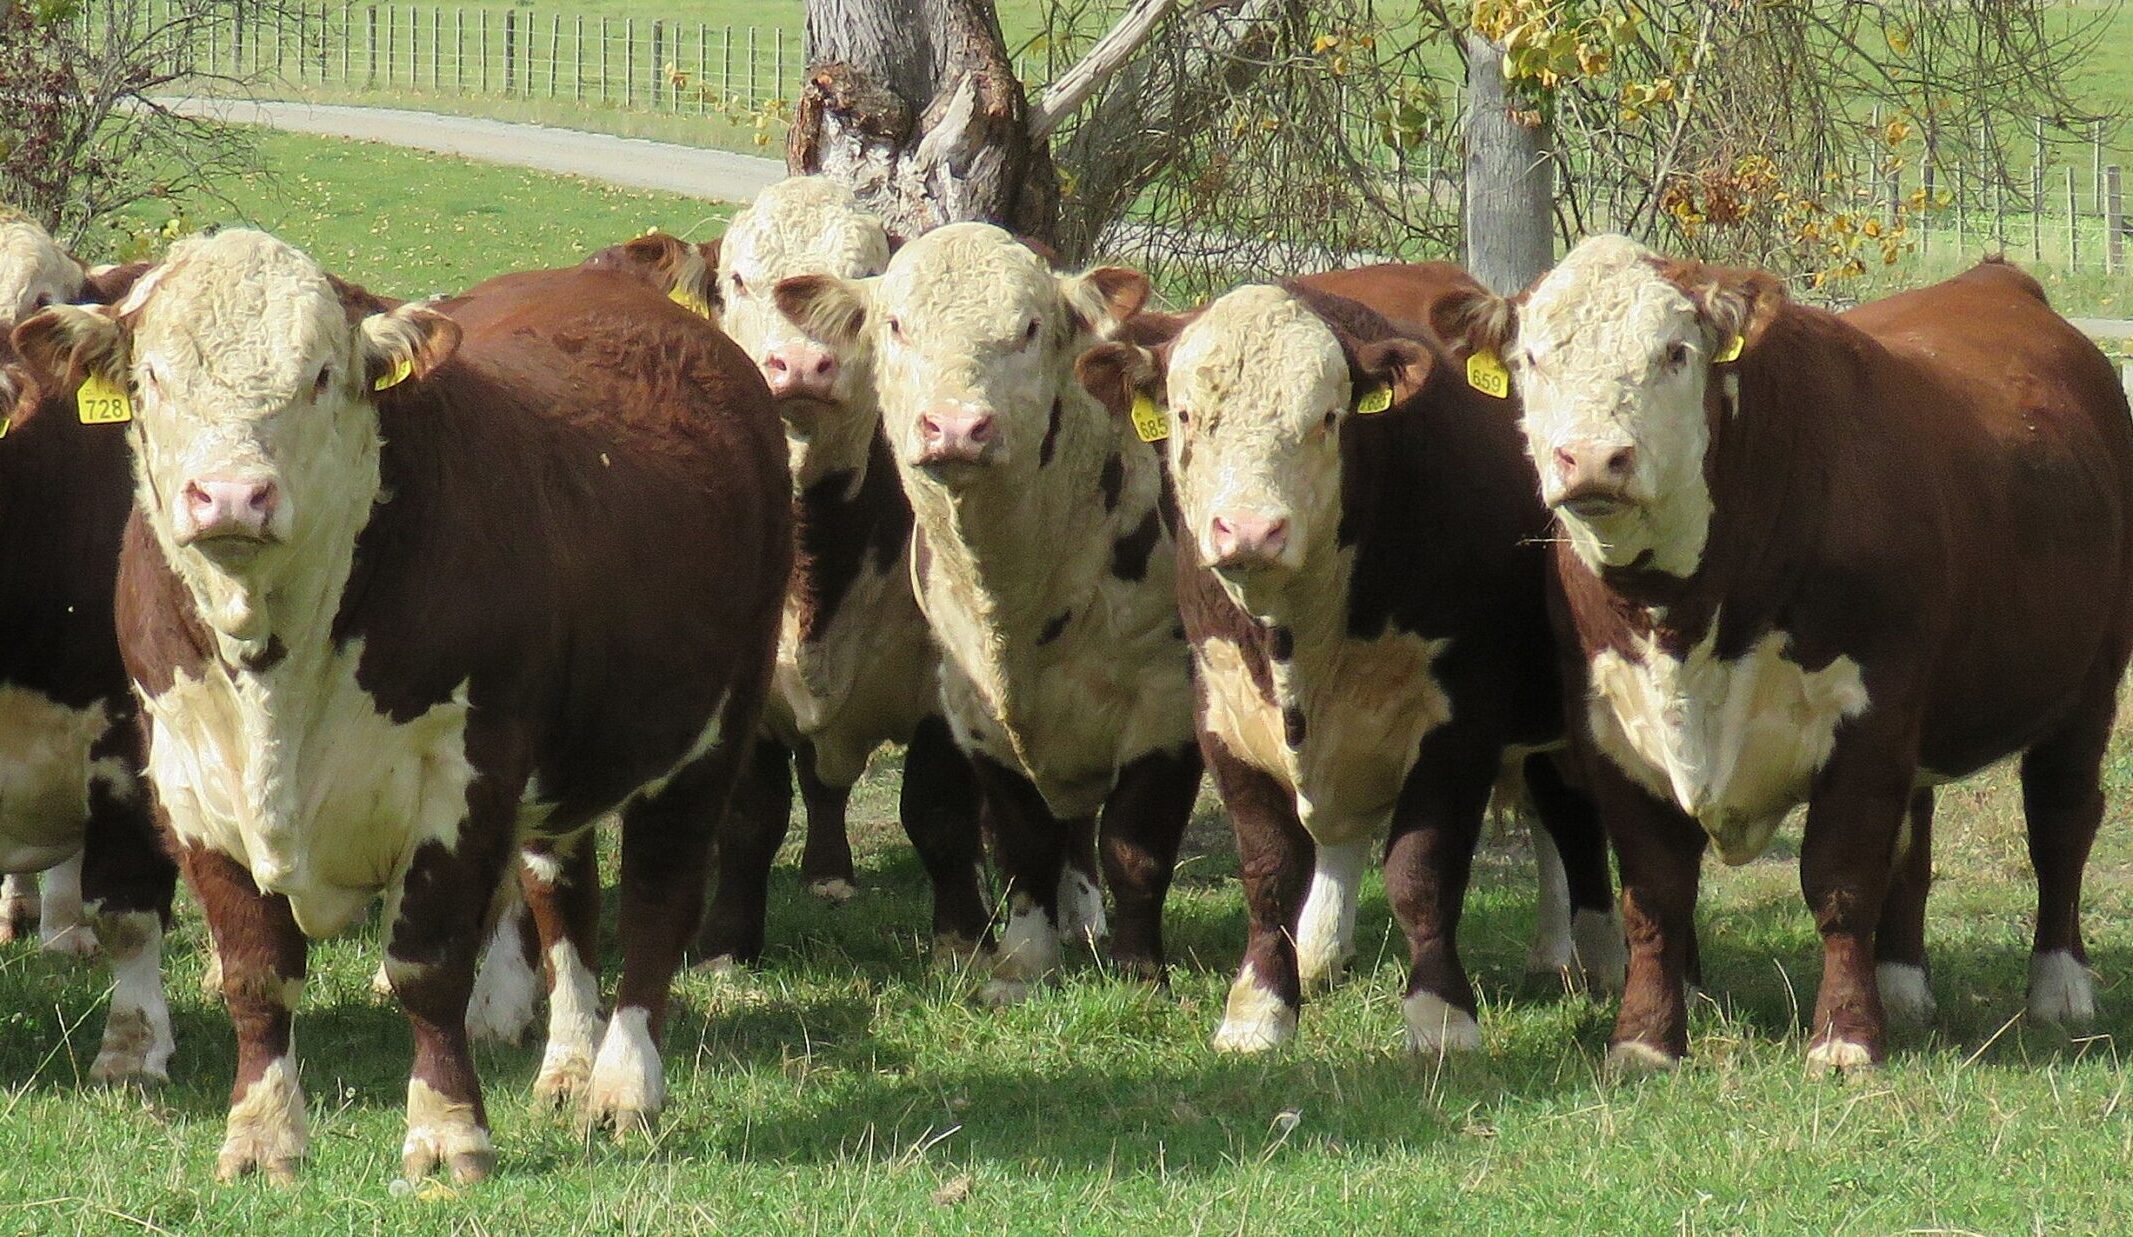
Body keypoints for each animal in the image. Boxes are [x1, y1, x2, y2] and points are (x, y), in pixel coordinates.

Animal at [12, 229, 790, 1181]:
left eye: (318, 374)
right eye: (152, 377)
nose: (230, 495)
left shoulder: (461, 780)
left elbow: (429, 969)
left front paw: (448, 1132)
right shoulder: (189, 781)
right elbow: (254, 972)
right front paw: (261, 1135)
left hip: (710, 732)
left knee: (657, 898)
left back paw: (622, 1086)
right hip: (564, 765)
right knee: (565, 899)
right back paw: (569, 1065)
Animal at [583, 178, 993, 973]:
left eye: (863, 283)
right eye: (739, 279)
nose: (801, 365)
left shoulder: (942, 679)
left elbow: (938, 814)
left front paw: (964, 939)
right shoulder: (747, 683)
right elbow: (752, 817)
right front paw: (725, 942)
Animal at [773, 222, 1199, 1000]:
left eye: (1030, 328)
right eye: (894, 324)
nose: (955, 426)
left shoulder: (1170, 703)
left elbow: (1136, 845)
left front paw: (1139, 972)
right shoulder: (971, 709)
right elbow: (1022, 839)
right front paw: (1021, 963)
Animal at [1076, 264, 1623, 1052]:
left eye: (1327, 418)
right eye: (1183, 415)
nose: (1249, 529)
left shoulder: (1458, 722)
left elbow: (1421, 873)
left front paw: (1439, 1016)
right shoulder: (1221, 714)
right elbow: (1270, 868)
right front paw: (1260, 1007)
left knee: (1571, 817)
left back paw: (1595, 957)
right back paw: (1325, 953)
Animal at [1433, 234, 2133, 1073]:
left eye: (1674, 352)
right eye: (1531, 358)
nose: (1592, 458)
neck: (1684, 619)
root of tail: (1996, 279)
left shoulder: (1868, 716)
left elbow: (1840, 880)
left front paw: (1844, 1037)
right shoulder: (1608, 727)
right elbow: (1654, 891)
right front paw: (1644, 1038)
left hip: (2087, 682)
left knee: (2060, 821)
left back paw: (2058, 987)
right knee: (1915, 839)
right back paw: (1902, 985)